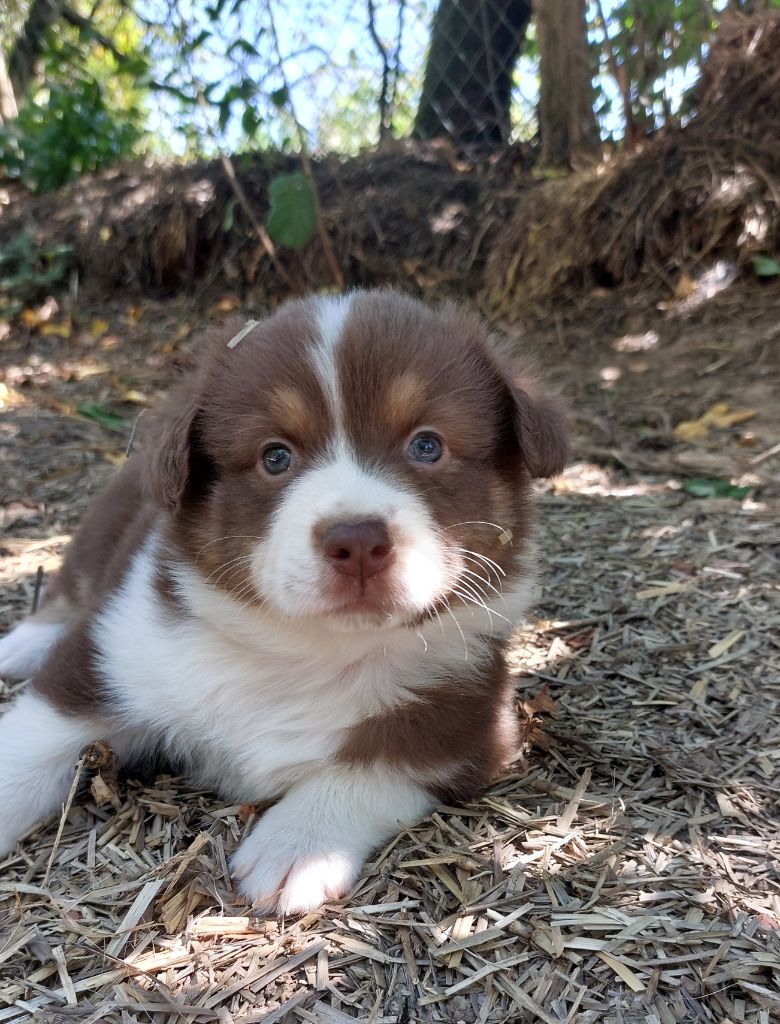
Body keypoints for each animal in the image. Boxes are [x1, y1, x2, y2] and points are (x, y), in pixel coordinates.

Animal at [0, 292, 565, 917]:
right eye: (275, 457)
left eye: (427, 445)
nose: (358, 542)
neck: (300, 653)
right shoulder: (111, 649)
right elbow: (31, 741)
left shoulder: (467, 719)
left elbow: (373, 764)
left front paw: (297, 847)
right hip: (99, 535)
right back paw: (21, 645)